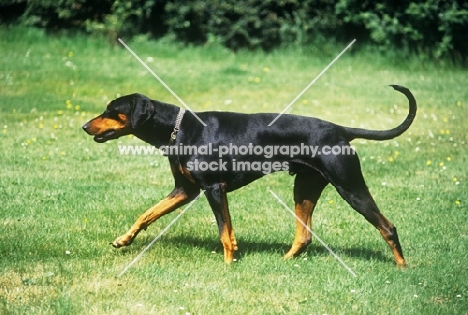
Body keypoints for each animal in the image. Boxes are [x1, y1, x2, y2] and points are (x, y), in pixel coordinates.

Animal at [82, 85, 414, 268]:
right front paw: (124, 240)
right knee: (304, 235)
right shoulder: (184, 191)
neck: (179, 129)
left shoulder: (214, 188)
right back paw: (284, 262)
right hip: (305, 187)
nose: (84, 126)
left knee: (387, 227)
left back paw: (403, 266)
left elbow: (225, 233)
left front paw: (228, 266)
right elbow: (147, 214)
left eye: (111, 110)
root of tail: (341, 130)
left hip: (350, 187)